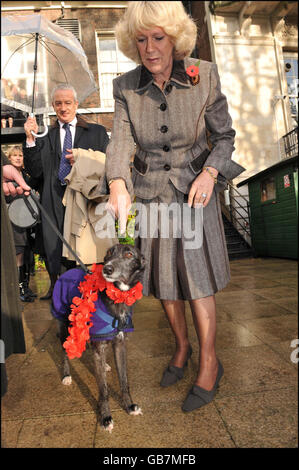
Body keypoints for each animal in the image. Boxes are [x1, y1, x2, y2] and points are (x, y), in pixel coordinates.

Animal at [52, 244, 146, 432]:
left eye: (129, 254)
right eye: (109, 252)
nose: (107, 269)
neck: (117, 298)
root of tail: (66, 272)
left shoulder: (120, 344)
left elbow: (124, 380)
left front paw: (129, 406)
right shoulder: (100, 345)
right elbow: (103, 390)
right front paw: (105, 418)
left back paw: (106, 365)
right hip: (65, 325)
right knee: (65, 352)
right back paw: (66, 376)